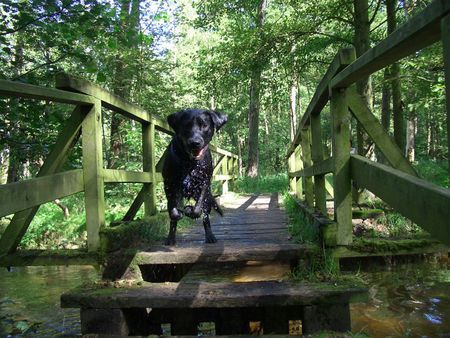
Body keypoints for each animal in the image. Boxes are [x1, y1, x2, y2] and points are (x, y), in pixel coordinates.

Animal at [163, 109, 229, 244]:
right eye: (186, 126)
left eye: (204, 125)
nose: (195, 142)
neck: (189, 162)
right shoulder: (168, 183)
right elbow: (173, 211)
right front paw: (179, 213)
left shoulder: (204, 183)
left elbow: (198, 208)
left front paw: (190, 210)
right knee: (173, 218)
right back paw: (171, 238)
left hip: (207, 198)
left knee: (206, 215)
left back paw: (210, 236)